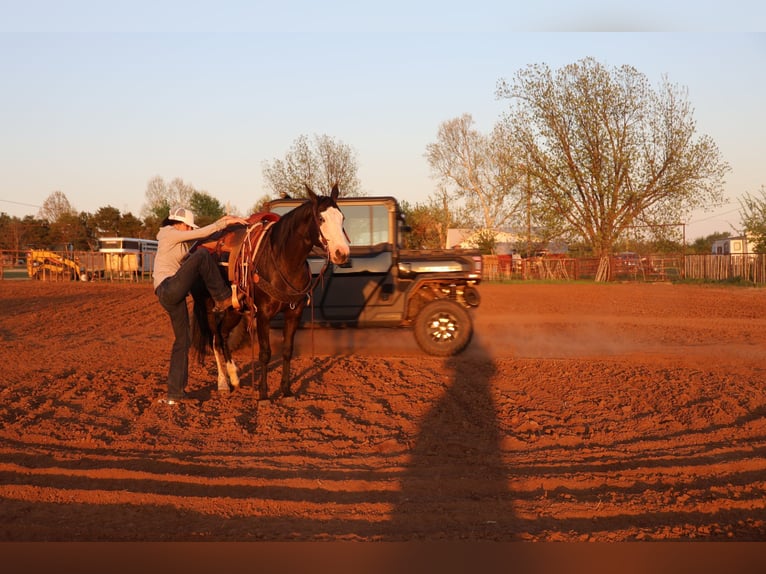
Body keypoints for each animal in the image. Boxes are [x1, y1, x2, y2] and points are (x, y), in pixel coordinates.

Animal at [189, 184, 350, 400]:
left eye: (342, 217)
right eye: (321, 218)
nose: (342, 253)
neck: (283, 261)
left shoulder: (293, 314)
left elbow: (287, 351)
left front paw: (286, 391)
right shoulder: (263, 315)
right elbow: (265, 353)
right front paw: (264, 395)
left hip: (234, 309)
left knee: (223, 335)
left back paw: (234, 378)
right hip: (208, 306)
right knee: (214, 339)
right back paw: (223, 382)